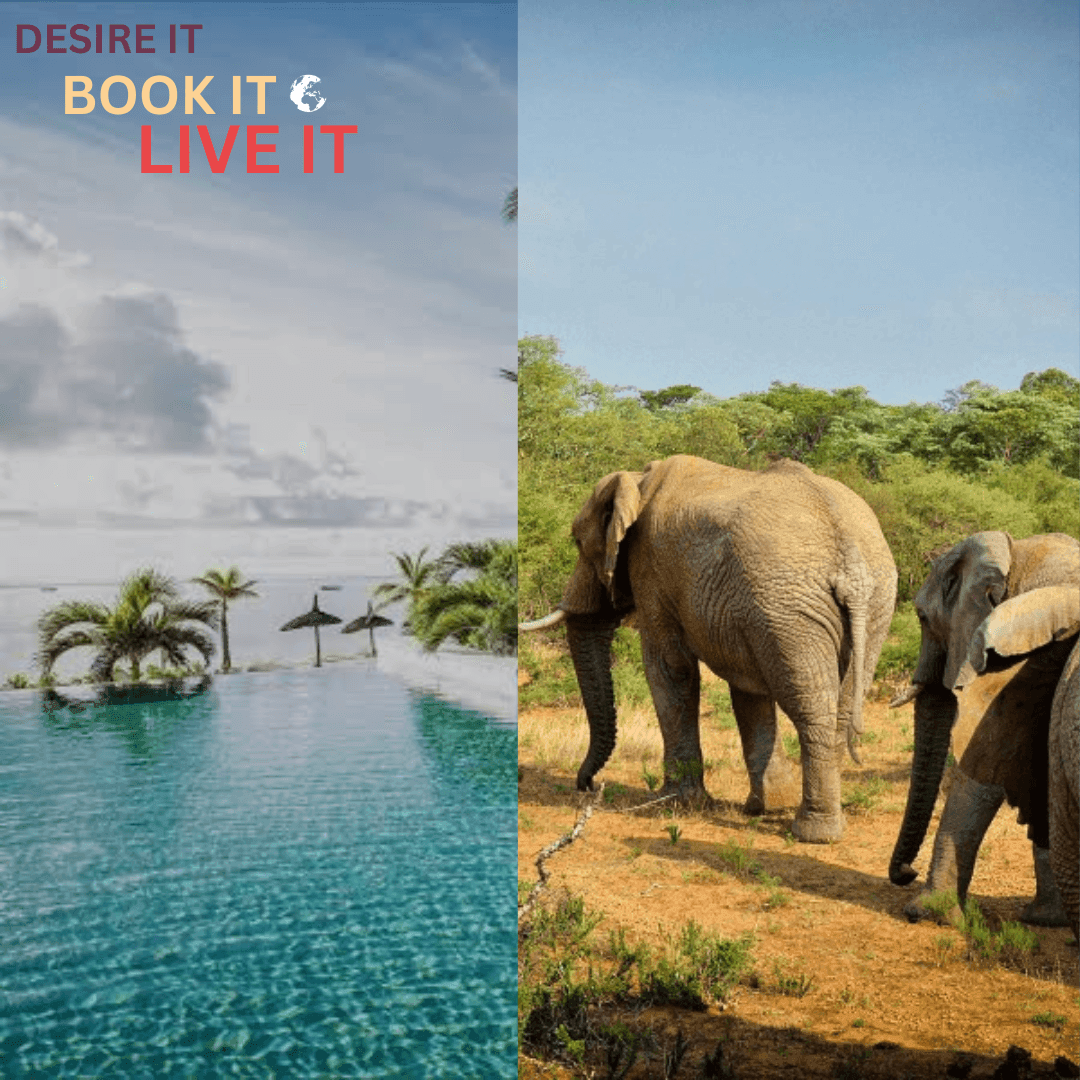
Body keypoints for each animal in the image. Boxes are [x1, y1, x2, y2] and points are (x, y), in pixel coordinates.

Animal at [514, 455, 894, 842]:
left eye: (577, 542)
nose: (587, 785)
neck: (639, 481)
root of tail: (850, 556)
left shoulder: (651, 566)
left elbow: (669, 668)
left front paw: (673, 802)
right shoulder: (749, 613)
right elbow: (748, 690)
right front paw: (764, 806)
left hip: (792, 604)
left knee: (811, 707)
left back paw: (813, 832)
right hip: (862, 604)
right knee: (840, 708)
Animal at [885, 529, 1080, 920]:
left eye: (922, 616)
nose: (906, 872)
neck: (1015, 552)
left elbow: (982, 778)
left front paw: (927, 913)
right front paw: (1045, 919)